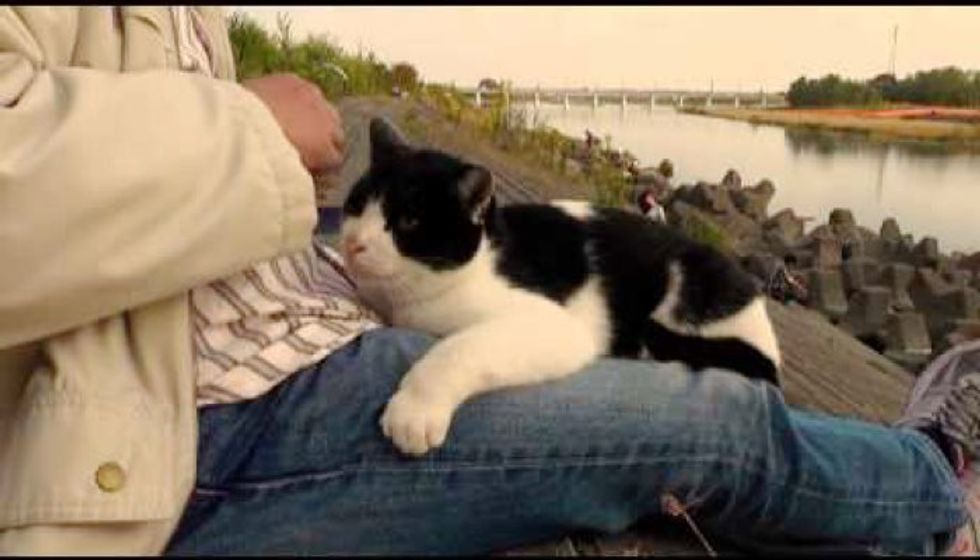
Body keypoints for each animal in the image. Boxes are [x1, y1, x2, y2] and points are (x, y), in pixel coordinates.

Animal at [342, 117, 780, 456]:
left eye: (408, 222)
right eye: (357, 205)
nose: (354, 242)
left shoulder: (554, 326)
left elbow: (459, 348)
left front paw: (415, 410)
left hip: (689, 282)